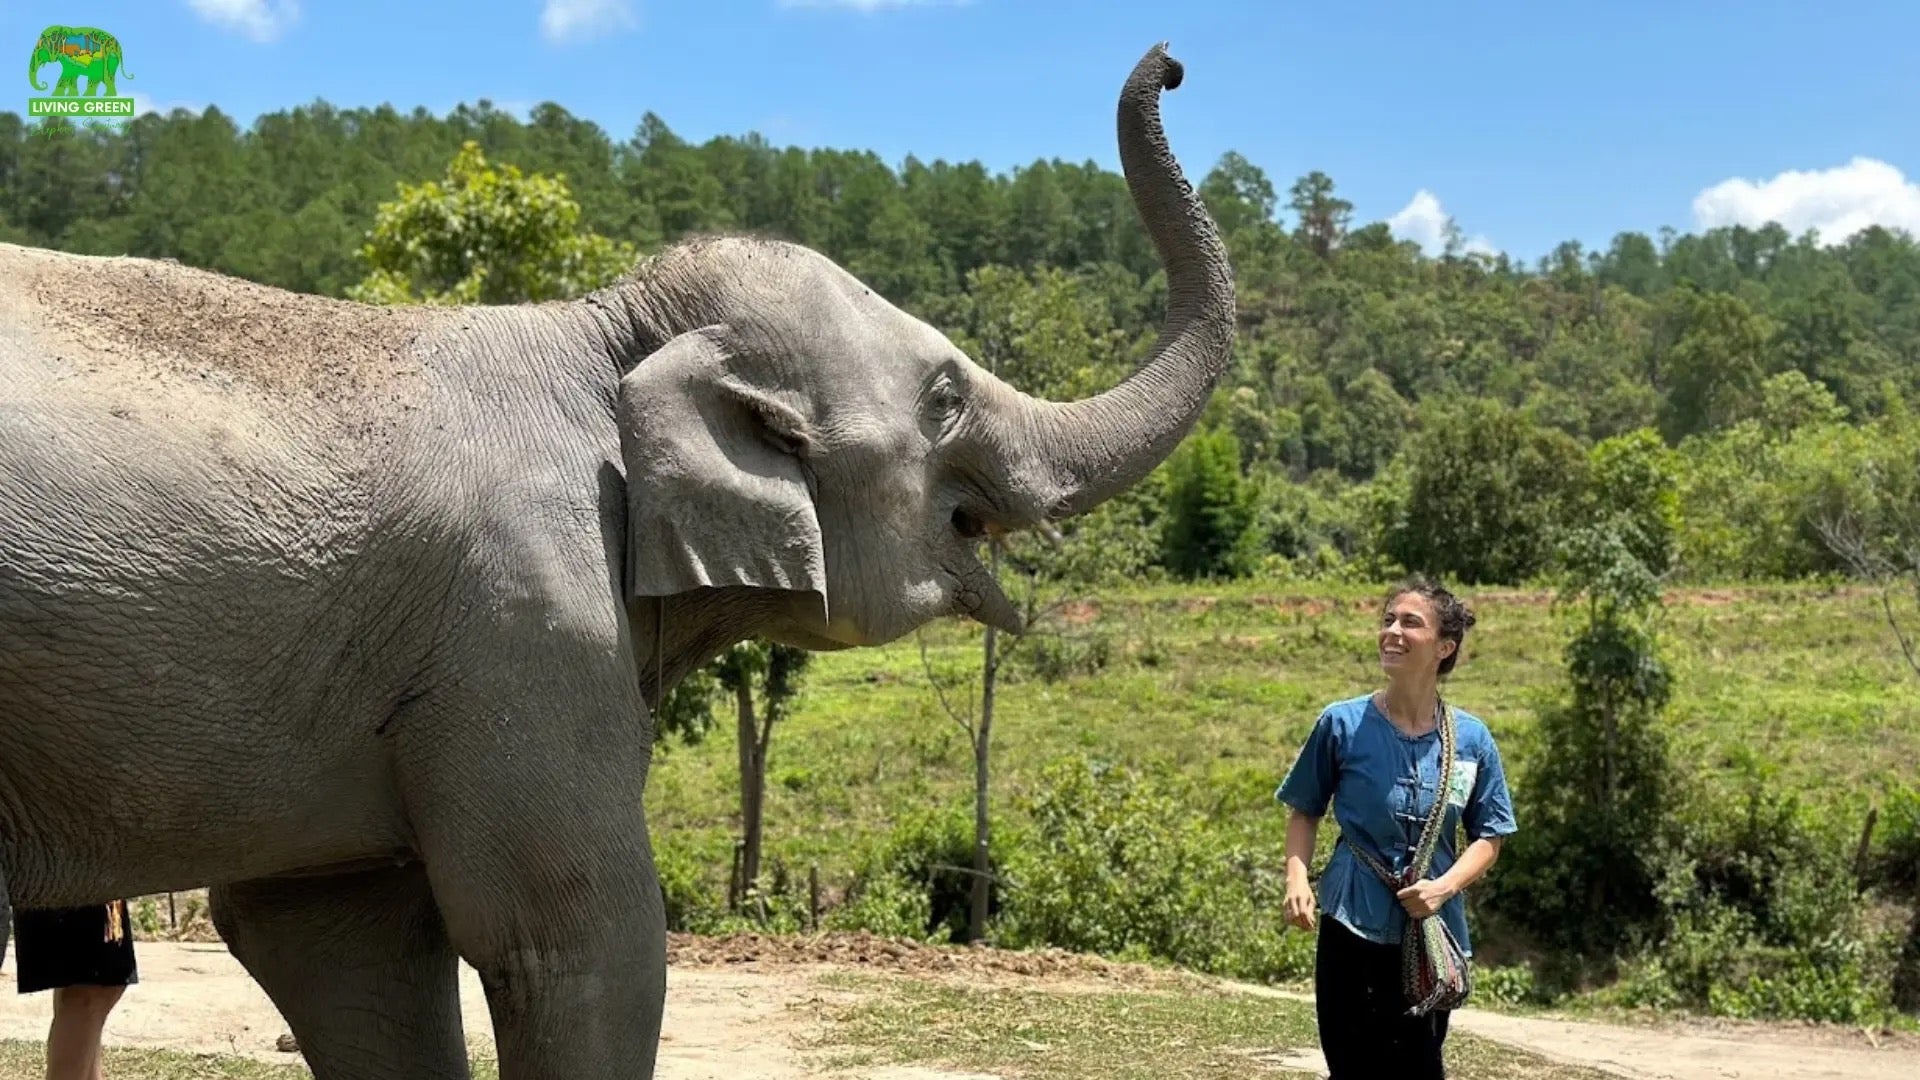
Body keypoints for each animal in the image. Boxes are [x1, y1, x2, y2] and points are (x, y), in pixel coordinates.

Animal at [0, 42, 1234, 1080]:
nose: (1174, 62)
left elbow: (335, 939)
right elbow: (578, 934)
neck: (603, 332)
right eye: (945, 396)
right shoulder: (522, 630)